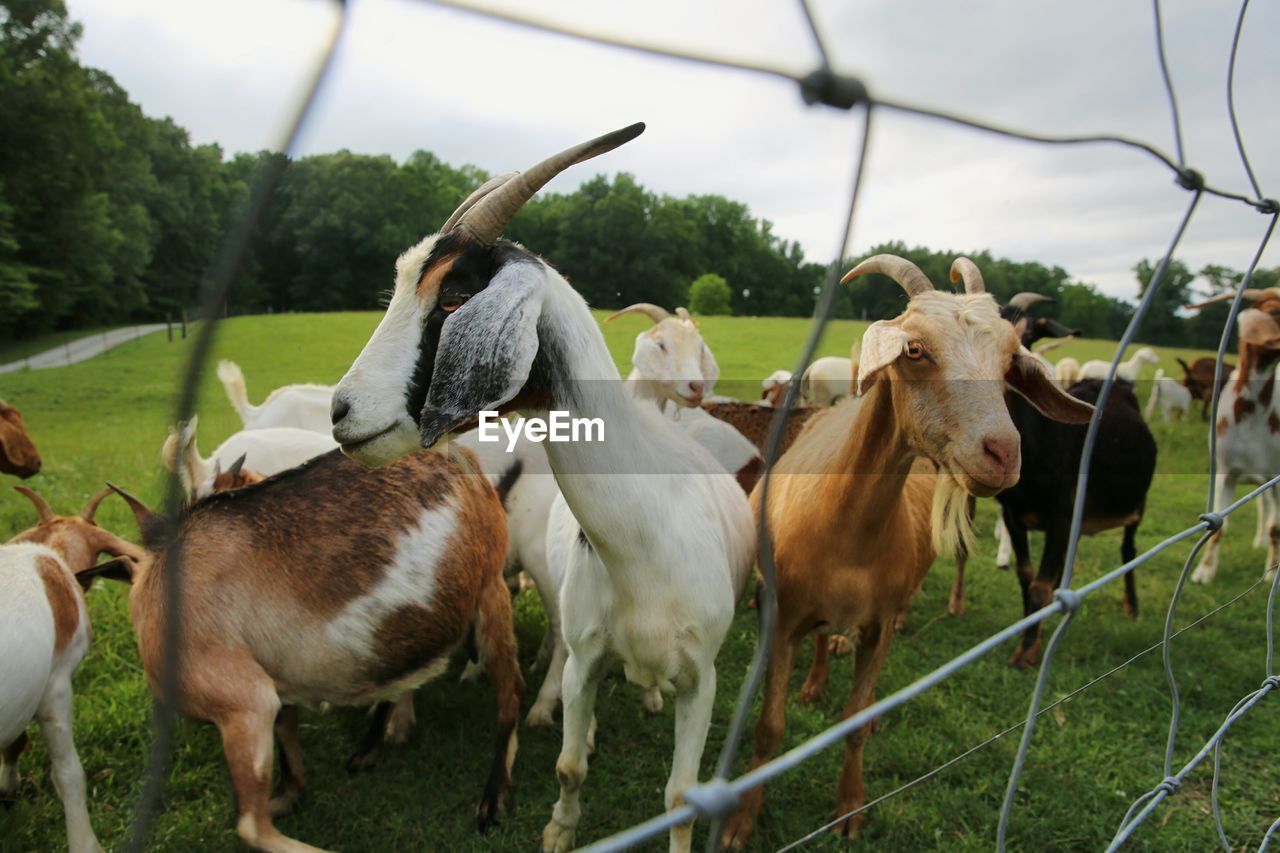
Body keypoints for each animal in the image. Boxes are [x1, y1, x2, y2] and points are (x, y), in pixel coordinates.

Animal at [327, 124, 757, 850]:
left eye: (452, 296)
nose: (340, 411)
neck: (646, 549)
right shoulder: (585, 659)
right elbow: (568, 764)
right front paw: (559, 830)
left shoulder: (704, 674)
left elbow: (680, 793)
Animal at [721, 252, 1090, 845]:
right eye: (914, 349)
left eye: (1010, 359)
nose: (1002, 452)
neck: (845, 536)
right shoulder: (780, 618)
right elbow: (769, 726)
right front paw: (741, 822)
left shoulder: (877, 624)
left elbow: (852, 721)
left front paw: (850, 806)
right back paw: (814, 682)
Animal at [1182, 289, 1280, 581]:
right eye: (1274, 311)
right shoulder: (1225, 472)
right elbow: (1219, 526)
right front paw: (1204, 572)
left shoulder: (1276, 476)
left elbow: (1276, 528)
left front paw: (1271, 572)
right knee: (1262, 506)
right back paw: (1259, 541)